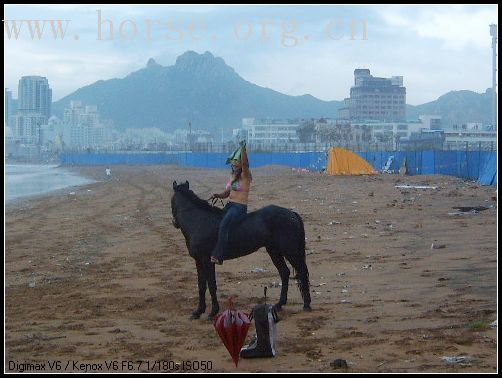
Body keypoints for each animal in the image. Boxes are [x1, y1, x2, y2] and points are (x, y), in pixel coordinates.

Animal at [172, 180, 310, 318]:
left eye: (172, 199)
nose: (175, 223)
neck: (199, 222)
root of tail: (292, 214)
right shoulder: (198, 261)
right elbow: (201, 285)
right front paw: (198, 311)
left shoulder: (207, 261)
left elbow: (211, 284)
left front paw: (213, 312)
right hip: (274, 251)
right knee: (284, 272)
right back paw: (279, 304)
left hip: (290, 251)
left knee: (302, 271)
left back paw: (307, 305)